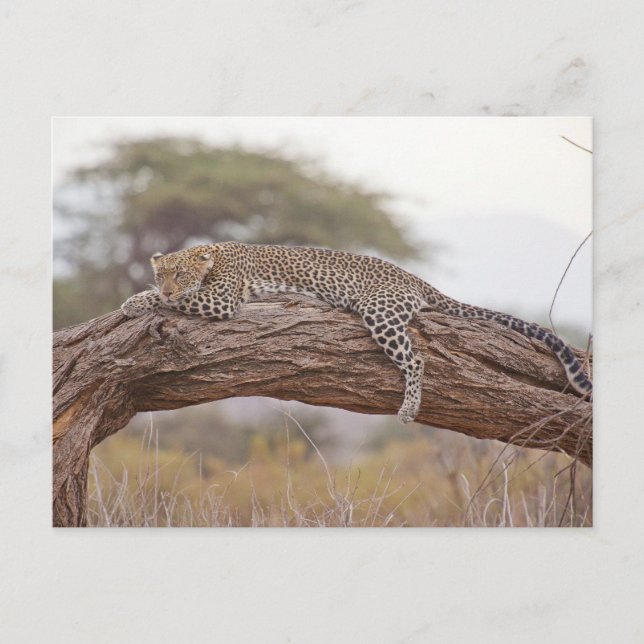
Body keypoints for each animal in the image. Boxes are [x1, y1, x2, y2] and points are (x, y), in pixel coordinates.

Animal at [121, 242, 593, 423]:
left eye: (180, 276)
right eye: (164, 273)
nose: (166, 285)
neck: (212, 256)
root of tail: (416, 279)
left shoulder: (222, 299)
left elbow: (174, 302)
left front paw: (137, 302)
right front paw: (138, 297)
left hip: (379, 311)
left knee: (416, 359)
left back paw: (408, 409)